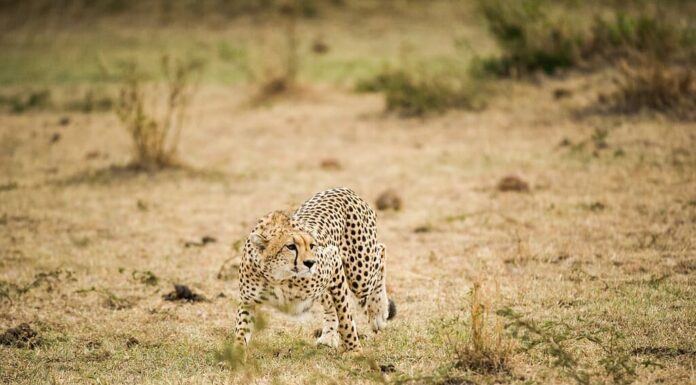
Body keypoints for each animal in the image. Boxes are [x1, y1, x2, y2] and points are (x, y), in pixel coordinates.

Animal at [234, 188, 394, 352]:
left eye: (312, 245)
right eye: (291, 246)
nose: (311, 263)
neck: (278, 277)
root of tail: (343, 189)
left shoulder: (334, 260)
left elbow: (345, 317)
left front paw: (354, 350)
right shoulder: (248, 300)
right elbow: (241, 329)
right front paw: (237, 353)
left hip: (359, 276)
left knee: (381, 250)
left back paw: (378, 312)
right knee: (330, 302)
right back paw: (329, 337)